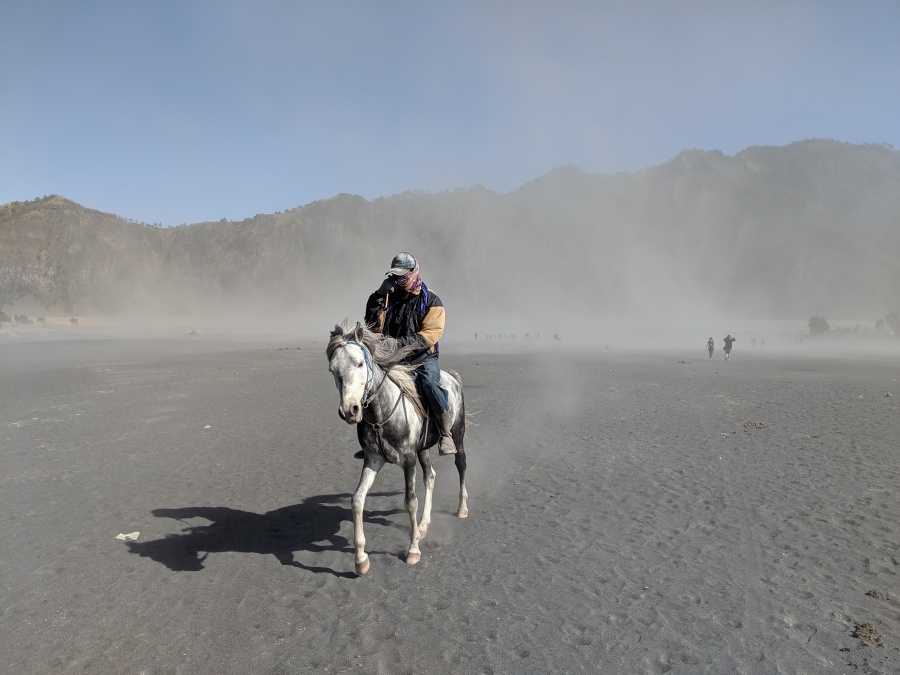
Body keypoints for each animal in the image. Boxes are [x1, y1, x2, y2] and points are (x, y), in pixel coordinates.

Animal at [330, 322, 472, 576]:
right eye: (332, 369)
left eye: (359, 363)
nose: (350, 410)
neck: (381, 414)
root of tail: (452, 377)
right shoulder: (373, 460)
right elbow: (357, 500)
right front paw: (360, 559)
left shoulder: (408, 460)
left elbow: (410, 501)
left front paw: (413, 550)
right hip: (423, 449)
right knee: (430, 476)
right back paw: (424, 525)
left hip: (458, 435)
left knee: (461, 465)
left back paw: (462, 508)